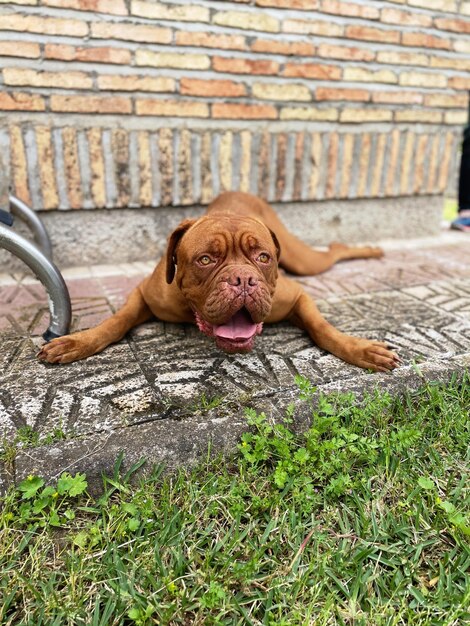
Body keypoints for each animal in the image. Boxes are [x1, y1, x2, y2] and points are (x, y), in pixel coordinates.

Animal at [38, 191, 400, 370]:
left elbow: (322, 327)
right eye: (206, 260)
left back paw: (372, 250)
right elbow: (116, 321)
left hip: (304, 262)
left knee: (335, 251)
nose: (243, 279)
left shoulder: (296, 296)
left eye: (262, 257)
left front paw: (360, 349)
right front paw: (78, 342)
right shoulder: (145, 293)